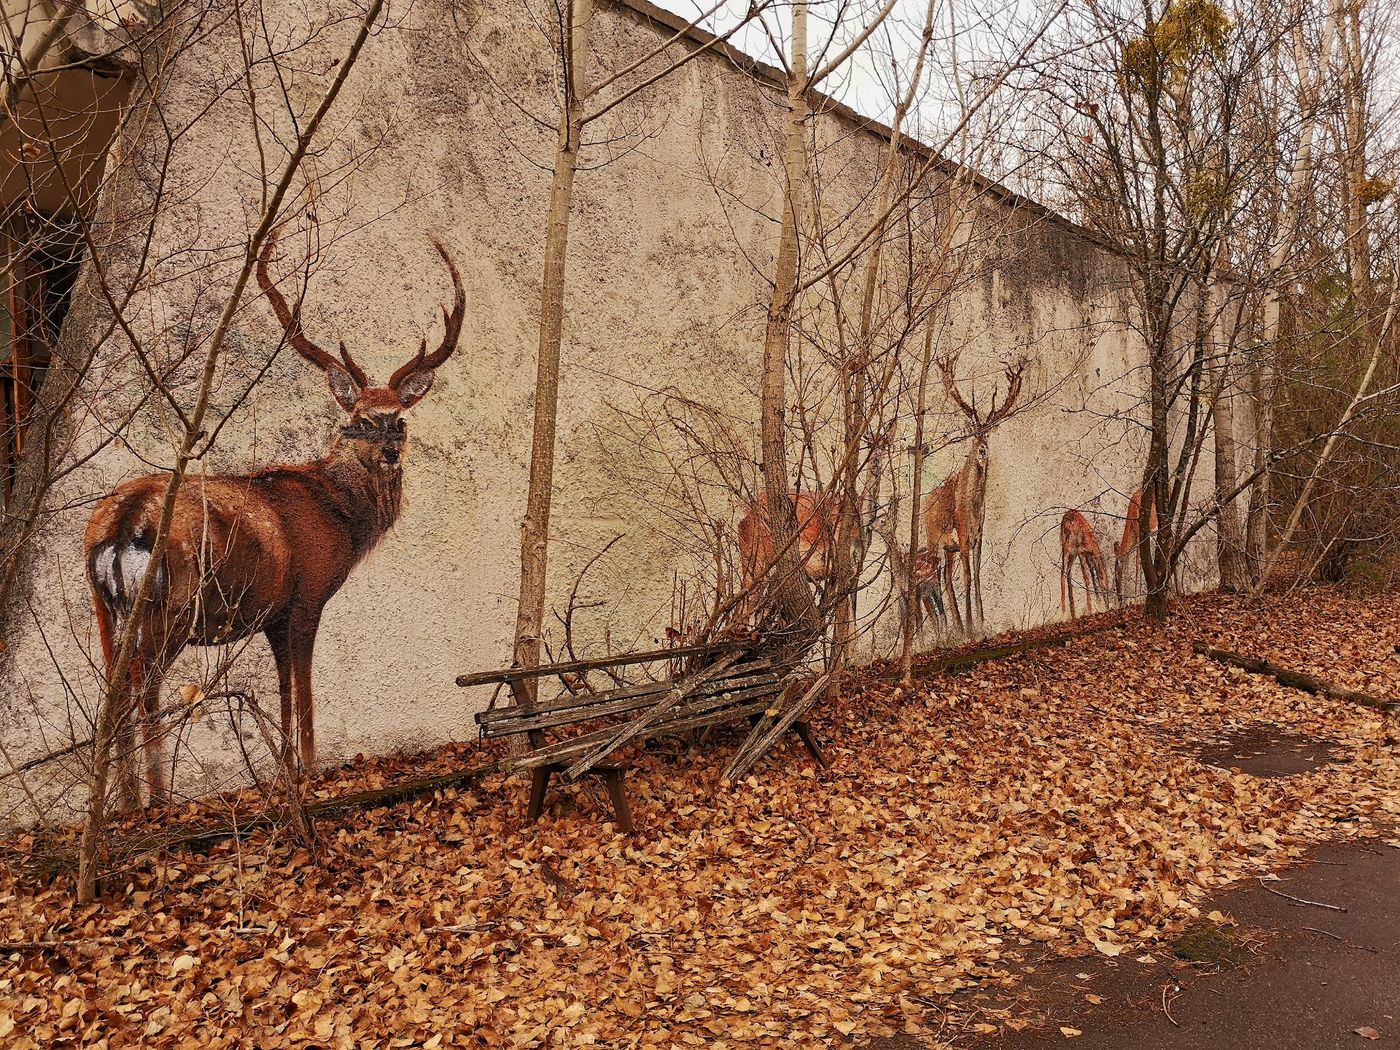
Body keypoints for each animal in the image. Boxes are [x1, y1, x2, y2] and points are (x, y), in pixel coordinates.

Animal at [83, 229, 464, 806]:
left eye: (398, 418)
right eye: (360, 418)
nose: (390, 451)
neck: (341, 516)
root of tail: (122, 522)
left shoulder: (272, 615)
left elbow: (283, 689)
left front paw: (284, 769)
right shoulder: (307, 596)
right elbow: (303, 691)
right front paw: (308, 767)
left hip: (103, 607)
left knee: (111, 691)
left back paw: (123, 802)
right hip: (172, 605)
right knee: (142, 686)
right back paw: (157, 798)